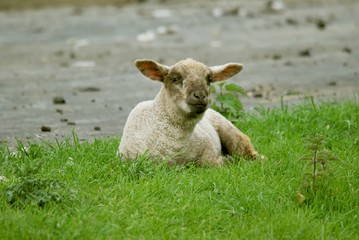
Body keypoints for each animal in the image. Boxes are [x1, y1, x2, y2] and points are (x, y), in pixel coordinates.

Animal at [119, 59, 262, 166]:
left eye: (209, 79)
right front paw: (227, 160)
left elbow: (208, 163)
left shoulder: (208, 146)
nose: (200, 95)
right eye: (175, 79)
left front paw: (227, 160)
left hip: (231, 132)